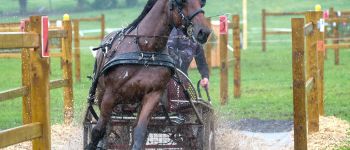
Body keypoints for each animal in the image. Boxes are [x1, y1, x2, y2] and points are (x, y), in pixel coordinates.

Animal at [87, 0, 211, 149]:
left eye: (201, 3)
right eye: (181, 3)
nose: (204, 31)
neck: (145, 50)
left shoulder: (153, 95)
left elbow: (140, 133)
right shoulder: (111, 94)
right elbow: (98, 130)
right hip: (101, 92)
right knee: (106, 125)